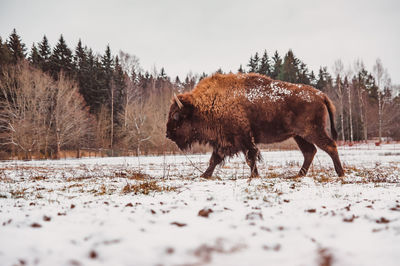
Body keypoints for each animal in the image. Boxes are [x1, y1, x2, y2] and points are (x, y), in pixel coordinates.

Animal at [166, 72, 344, 179]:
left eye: (176, 116)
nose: (168, 134)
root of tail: (320, 95)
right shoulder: (224, 142)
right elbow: (215, 159)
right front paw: (204, 175)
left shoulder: (242, 138)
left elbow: (250, 157)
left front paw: (254, 176)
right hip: (299, 136)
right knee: (310, 151)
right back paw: (298, 175)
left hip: (312, 132)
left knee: (329, 146)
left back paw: (340, 173)